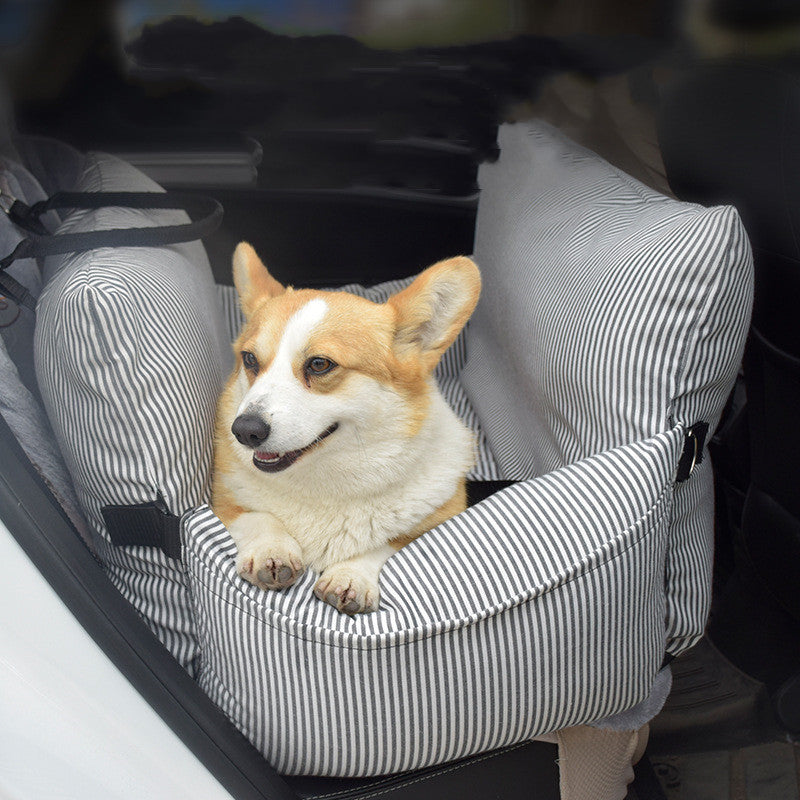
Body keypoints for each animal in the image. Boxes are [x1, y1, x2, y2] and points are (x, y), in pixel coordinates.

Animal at [209, 241, 478, 616]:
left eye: (320, 365)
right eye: (249, 359)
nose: (245, 431)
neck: (326, 483)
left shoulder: (430, 524)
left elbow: (386, 543)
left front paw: (351, 576)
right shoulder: (222, 502)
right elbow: (257, 517)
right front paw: (271, 550)